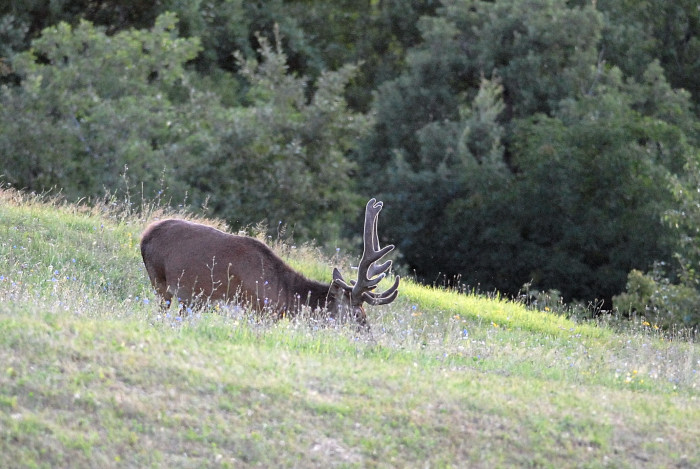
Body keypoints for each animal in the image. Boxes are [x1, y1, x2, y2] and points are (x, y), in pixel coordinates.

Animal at [139, 197, 400, 326]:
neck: (281, 294)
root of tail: (145, 236)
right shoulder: (254, 310)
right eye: (358, 316)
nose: (370, 339)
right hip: (161, 283)